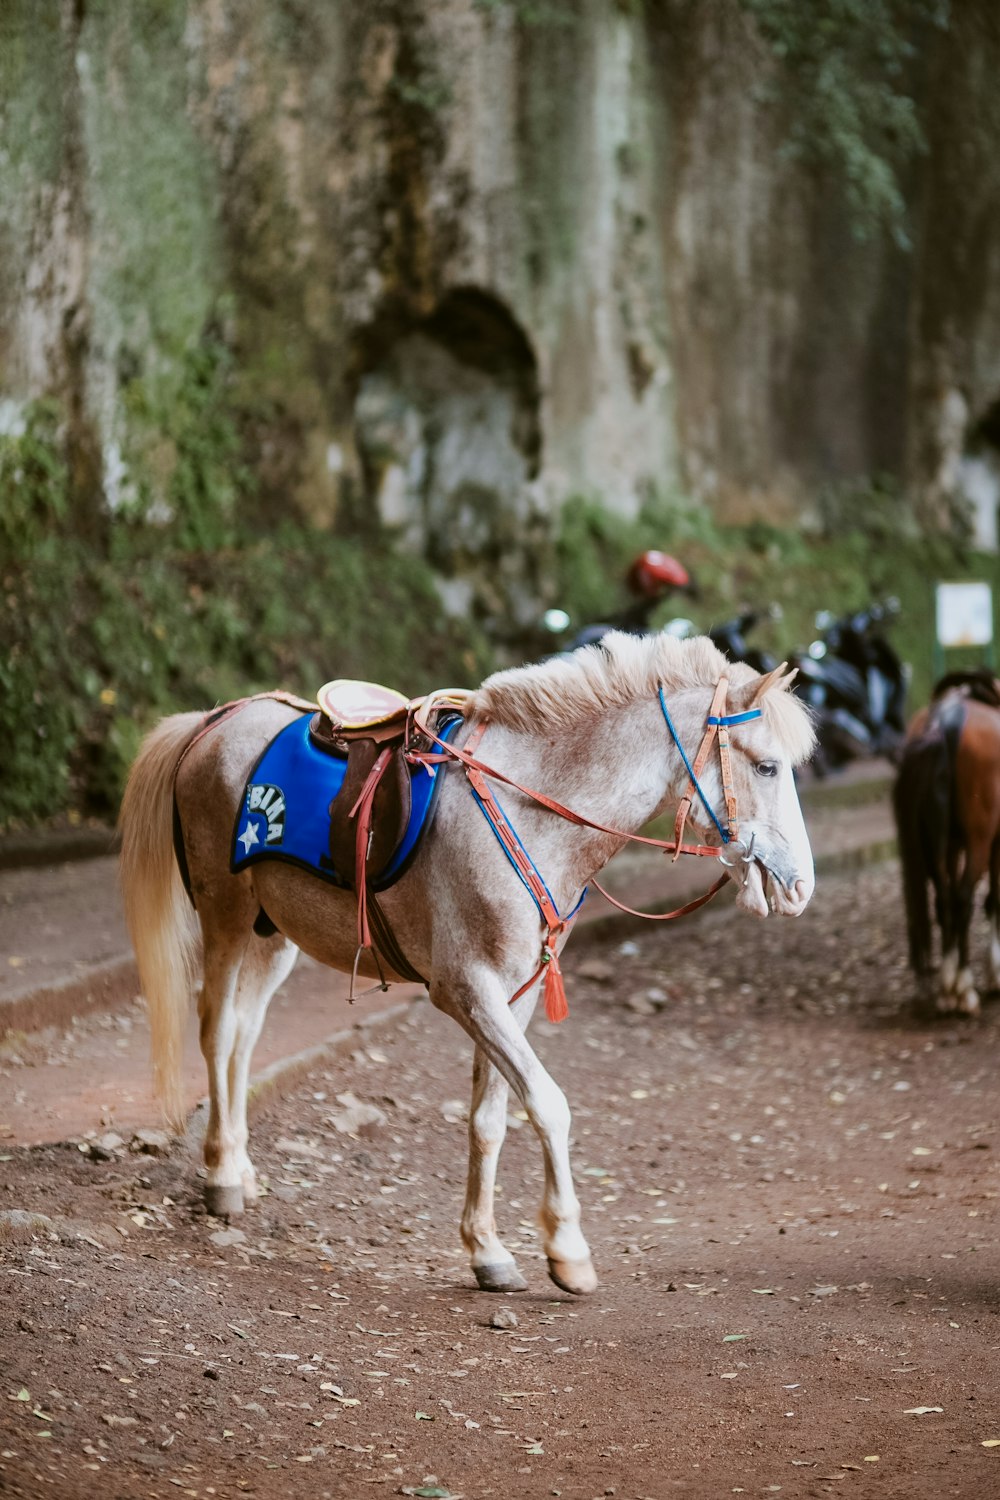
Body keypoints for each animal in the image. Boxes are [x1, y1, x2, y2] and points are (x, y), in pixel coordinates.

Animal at [121, 627, 815, 1296]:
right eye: (768, 766)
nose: (801, 887)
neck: (533, 812)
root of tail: (215, 720)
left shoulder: (514, 995)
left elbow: (489, 1119)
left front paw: (488, 1253)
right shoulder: (465, 990)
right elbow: (548, 1104)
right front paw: (567, 1252)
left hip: (274, 937)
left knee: (242, 1037)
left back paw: (239, 1167)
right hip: (226, 916)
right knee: (215, 1032)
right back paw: (219, 1178)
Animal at [893, 672, 1000, 1014]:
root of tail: (944, 722)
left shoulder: (952, 846)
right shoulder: (996, 843)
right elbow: (994, 899)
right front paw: (994, 973)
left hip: (935, 845)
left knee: (943, 899)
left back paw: (946, 988)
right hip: (979, 842)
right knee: (964, 898)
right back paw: (963, 988)